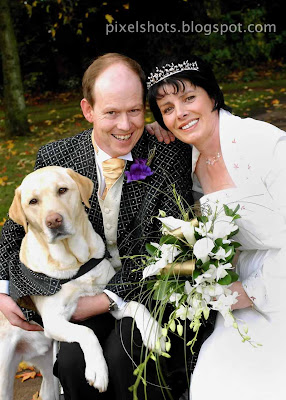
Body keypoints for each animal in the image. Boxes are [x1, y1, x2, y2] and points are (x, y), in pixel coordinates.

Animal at [1, 166, 163, 400]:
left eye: (62, 190)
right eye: (33, 201)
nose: (54, 220)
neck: (75, 262)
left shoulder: (109, 301)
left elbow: (136, 305)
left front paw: (154, 334)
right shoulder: (54, 321)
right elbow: (87, 332)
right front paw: (98, 370)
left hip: (49, 372)